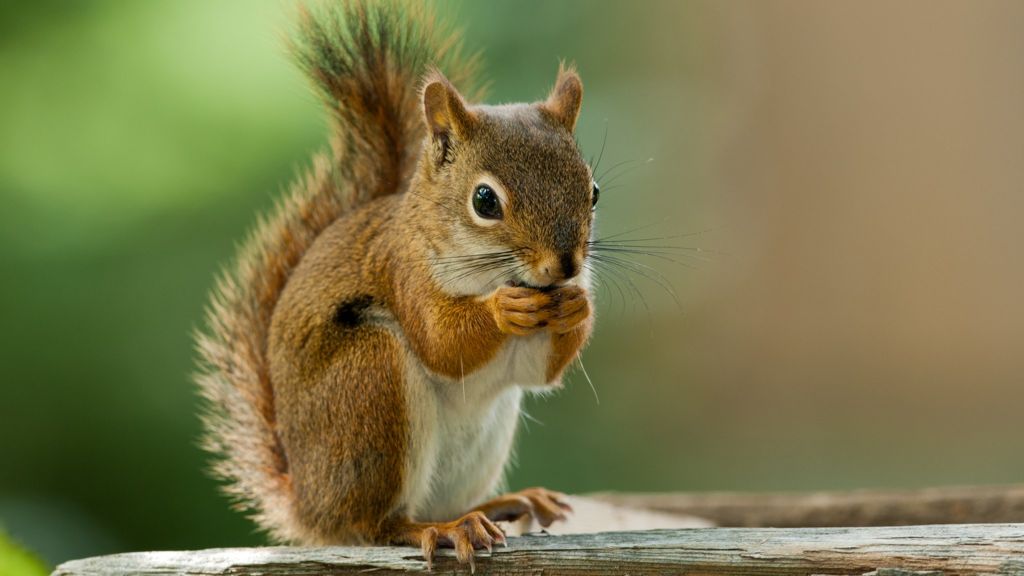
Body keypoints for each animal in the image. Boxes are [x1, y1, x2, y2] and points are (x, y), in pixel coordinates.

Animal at [195, 0, 597, 568]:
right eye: (485, 201)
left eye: (594, 191)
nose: (564, 266)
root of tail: (310, 507)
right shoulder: (403, 272)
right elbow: (442, 341)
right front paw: (502, 310)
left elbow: (540, 370)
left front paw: (577, 307)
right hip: (370, 383)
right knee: (378, 525)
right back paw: (443, 529)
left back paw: (502, 504)